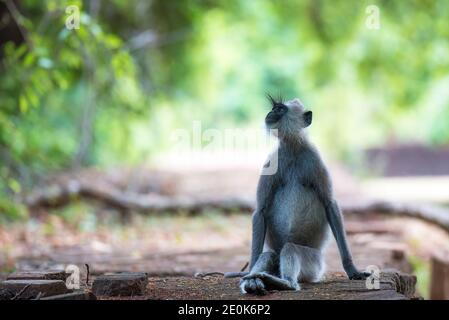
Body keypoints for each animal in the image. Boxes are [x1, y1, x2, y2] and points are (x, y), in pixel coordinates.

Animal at [228, 95, 372, 296]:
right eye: (274, 108)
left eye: (280, 109)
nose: (270, 113)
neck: (293, 147)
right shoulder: (272, 161)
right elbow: (261, 210)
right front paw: (249, 274)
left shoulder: (314, 158)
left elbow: (330, 204)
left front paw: (352, 270)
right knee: (269, 254)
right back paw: (254, 282)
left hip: (314, 265)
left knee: (290, 249)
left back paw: (283, 282)